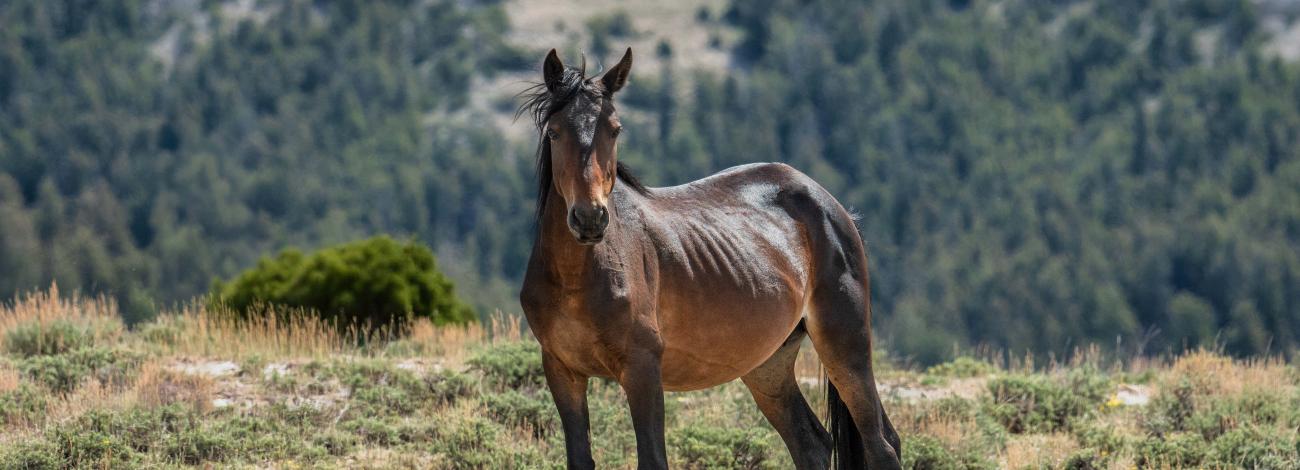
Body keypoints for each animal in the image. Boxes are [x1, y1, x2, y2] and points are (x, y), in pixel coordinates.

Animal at [517, 48, 901, 470]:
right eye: (555, 132)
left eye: (614, 129)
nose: (590, 218)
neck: (577, 277)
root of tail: (833, 207)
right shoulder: (562, 370)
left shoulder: (641, 368)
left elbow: (653, 458)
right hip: (769, 364)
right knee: (812, 442)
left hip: (844, 342)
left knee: (881, 444)